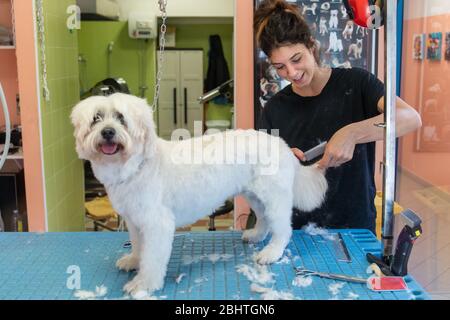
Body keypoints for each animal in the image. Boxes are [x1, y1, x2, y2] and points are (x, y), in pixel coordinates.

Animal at [72, 92, 328, 296]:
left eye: (121, 118)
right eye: (96, 118)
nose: (108, 132)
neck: (137, 165)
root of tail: (283, 146)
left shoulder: (157, 223)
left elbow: (152, 258)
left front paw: (143, 283)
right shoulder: (135, 221)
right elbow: (137, 246)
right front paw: (134, 260)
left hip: (275, 197)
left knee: (283, 228)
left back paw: (272, 252)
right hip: (254, 195)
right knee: (264, 219)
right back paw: (255, 235)